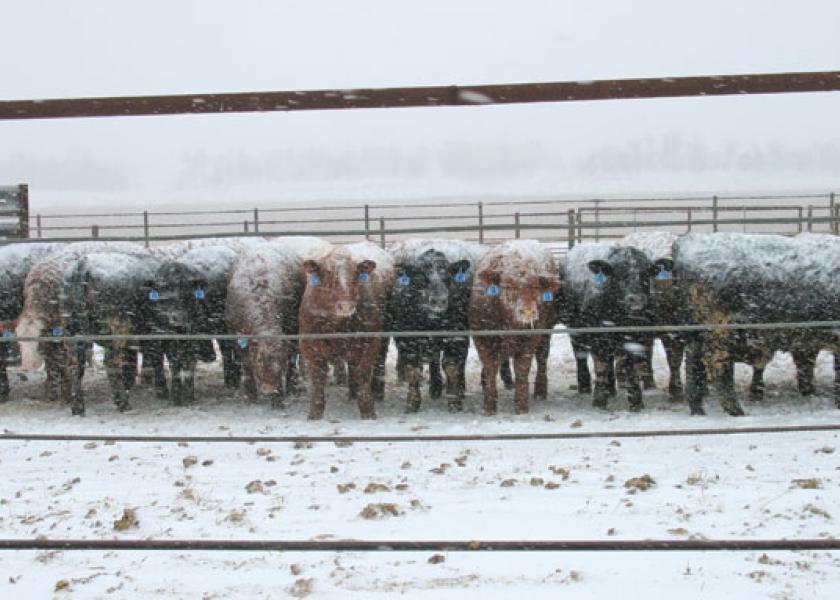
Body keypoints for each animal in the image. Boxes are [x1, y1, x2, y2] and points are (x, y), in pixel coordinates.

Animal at [61, 251, 167, 414]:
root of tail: (83, 265)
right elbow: (156, 358)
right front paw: (162, 390)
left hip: (72, 330)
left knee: (75, 365)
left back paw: (78, 406)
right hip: (116, 331)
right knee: (111, 362)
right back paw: (122, 403)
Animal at [300, 241, 396, 420]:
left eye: (356, 274)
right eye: (328, 274)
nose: (345, 305)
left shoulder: (369, 343)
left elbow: (363, 377)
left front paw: (369, 413)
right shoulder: (309, 347)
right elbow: (317, 382)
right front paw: (314, 415)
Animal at [388, 245, 472, 412]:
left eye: (447, 274)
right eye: (420, 277)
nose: (438, 300)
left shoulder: (457, 338)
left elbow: (452, 367)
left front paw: (454, 401)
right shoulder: (407, 341)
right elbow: (413, 370)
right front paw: (412, 403)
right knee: (434, 361)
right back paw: (435, 387)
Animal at [470, 239, 560, 412]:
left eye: (535, 286)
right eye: (508, 286)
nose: (528, 311)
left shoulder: (530, 338)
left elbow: (522, 369)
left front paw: (521, 406)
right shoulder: (482, 338)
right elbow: (490, 368)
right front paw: (489, 406)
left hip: (546, 330)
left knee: (542, 358)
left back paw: (540, 390)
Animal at [564, 244, 656, 412]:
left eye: (646, 273)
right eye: (618, 274)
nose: (636, 299)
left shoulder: (638, 338)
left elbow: (632, 368)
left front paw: (636, 402)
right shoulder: (598, 339)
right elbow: (601, 366)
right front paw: (599, 401)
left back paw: (611, 389)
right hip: (575, 330)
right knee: (580, 355)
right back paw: (585, 387)